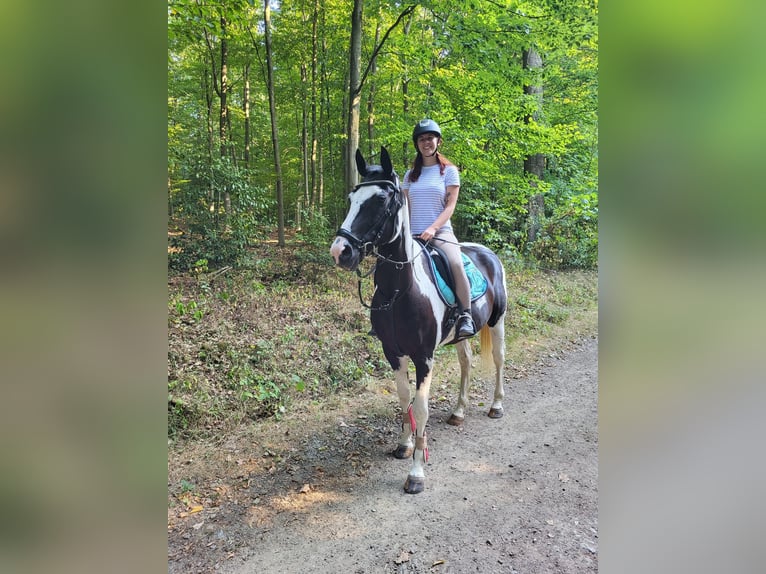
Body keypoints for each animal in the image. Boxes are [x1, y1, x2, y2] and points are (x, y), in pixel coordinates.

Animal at [330, 146, 508, 494]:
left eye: (381, 200)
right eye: (352, 197)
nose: (340, 251)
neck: (400, 289)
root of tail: (487, 253)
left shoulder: (424, 356)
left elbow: (421, 406)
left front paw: (416, 473)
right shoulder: (393, 353)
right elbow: (403, 399)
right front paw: (404, 445)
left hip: (498, 323)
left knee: (498, 359)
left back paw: (496, 406)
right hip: (460, 336)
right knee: (466, 362)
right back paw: (458, 411)